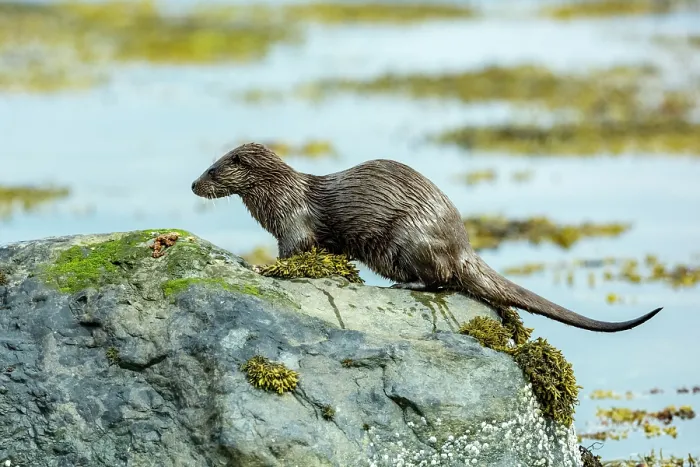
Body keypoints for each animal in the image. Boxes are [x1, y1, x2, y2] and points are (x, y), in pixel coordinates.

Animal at [191, 142, 662, 332]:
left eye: (213, 170)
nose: (193, 184)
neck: (278, 196)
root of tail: (462, 243)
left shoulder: (294, 222)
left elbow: (292, 253)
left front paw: (259, 266)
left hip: (410, 238)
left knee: (439, 279)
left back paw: (404, 285)